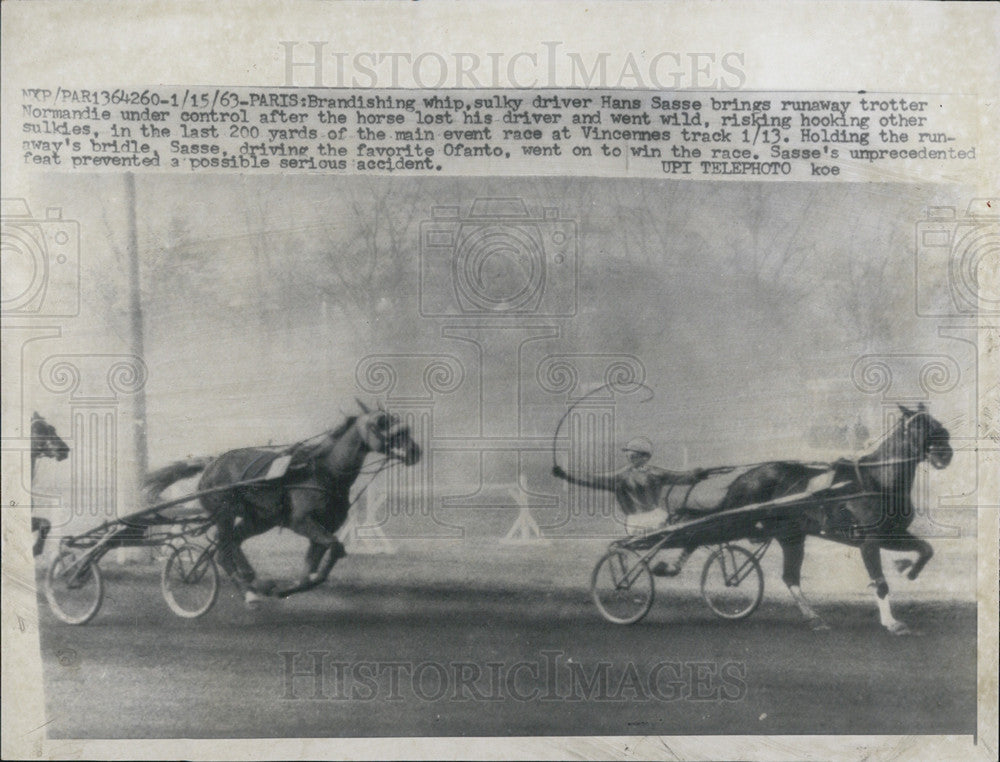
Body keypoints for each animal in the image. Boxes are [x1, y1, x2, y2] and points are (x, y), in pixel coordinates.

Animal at [157, 398, 422, 604]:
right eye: (381, 423)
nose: (415, 451)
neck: (322, 472)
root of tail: (211, 464)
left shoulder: (324, 526)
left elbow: (316, 567)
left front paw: (289, 586)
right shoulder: (301, 521)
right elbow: (336, 547)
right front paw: (283, 587)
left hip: (258, 520)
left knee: (233, 543)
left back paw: (255, 581)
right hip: (224, 513)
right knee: (224, 550)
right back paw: (249, 593)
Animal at [664, 404, 952, 636]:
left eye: (937, 422)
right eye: (917, 426)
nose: (945, 453)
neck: (878, 481)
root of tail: (745, 477)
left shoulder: (891, 535)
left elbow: (926, 549)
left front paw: (908, 569)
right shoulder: (869, 540)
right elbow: (880, 582)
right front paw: (892, 623)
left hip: (790, 536)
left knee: (790, 577)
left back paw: (814, 618)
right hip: (739, 517)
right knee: (694, 532)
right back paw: (670, 565)